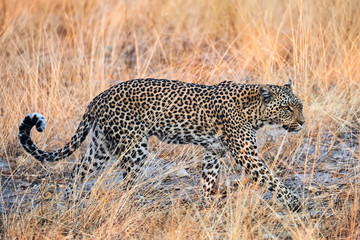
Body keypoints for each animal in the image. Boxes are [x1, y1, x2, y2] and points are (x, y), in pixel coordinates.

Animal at [18, 78, 306, 210]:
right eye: (287, 108)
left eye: (300, 106)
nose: (302, 122)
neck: (255, 111)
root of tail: (98, 97)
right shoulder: (246, 154)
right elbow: (271, 178)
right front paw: (294, 202)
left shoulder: (214, 151)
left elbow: (208, 179)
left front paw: (206, 204)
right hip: (134, 146)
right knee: (128, 183)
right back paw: (142, 204)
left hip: (101, 145)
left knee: (78, 170)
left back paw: (71, 201)